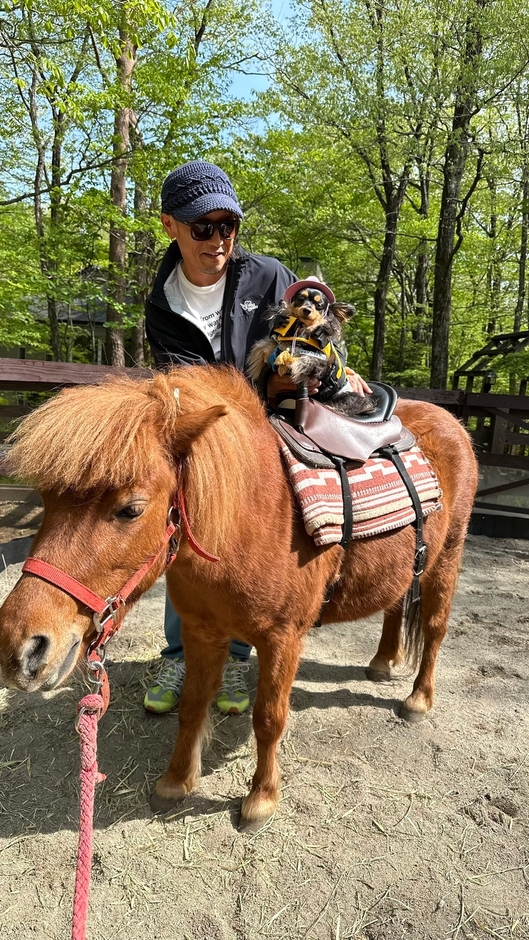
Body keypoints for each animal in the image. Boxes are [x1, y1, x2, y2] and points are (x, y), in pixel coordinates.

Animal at [0, 365, 478, 831]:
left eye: (131, 509)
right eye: (46, 501)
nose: (21, 649)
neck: (249, 521)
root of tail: (448, 420)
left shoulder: (282, 640)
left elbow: (269, 718)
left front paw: (261, 799)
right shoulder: (200, 631)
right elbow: (192, 705)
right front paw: (175, 781)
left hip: (446, 560)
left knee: (434, 629)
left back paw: (418, 700)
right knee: (394, 606)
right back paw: (381, 662)